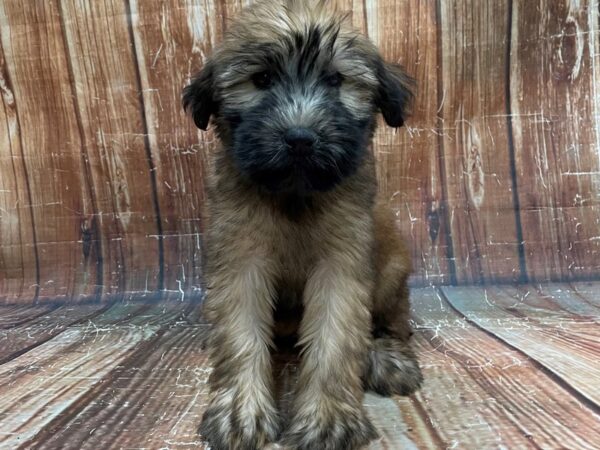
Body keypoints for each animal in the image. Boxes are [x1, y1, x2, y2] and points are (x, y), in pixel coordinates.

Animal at [183, 1, 422, 448]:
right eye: (262, 79)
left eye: (335, 80)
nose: (299, 138)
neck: (294, 196)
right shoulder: (240, 259)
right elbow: (239, 332)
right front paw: (241, 411)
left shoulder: (342, 263)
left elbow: (337, 337)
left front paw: (327, 418)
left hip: (393, 270)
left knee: (390, 325)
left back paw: (385, 357)